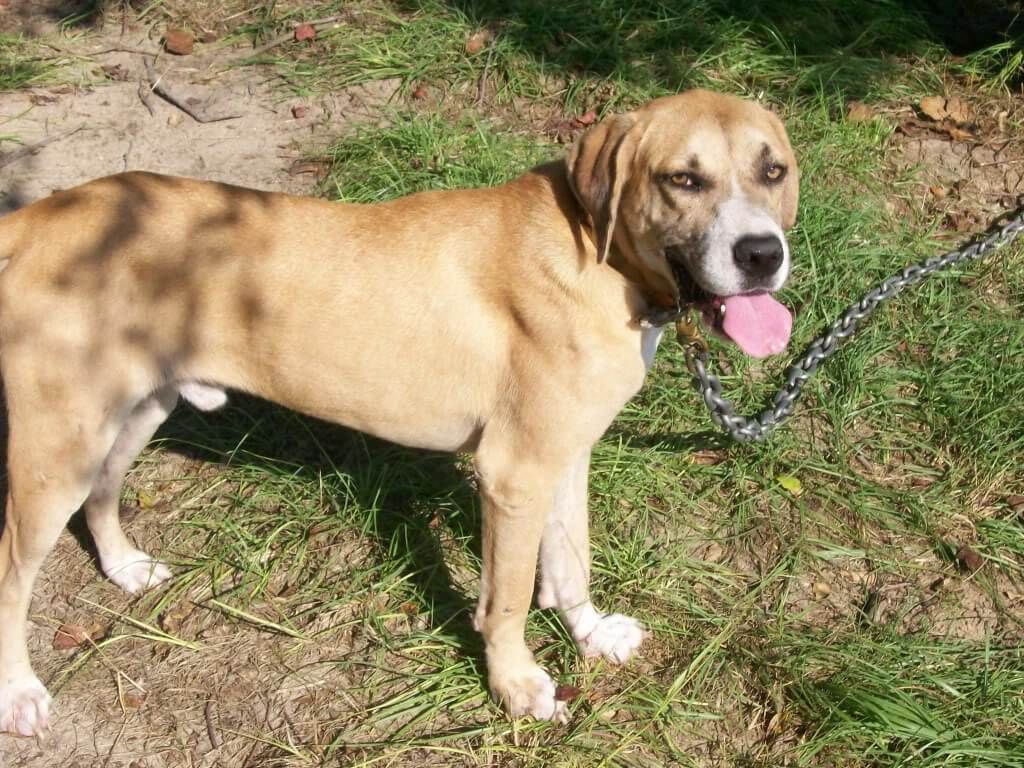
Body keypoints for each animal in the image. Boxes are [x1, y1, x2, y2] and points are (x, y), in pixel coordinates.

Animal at [0, 87, 798, 737]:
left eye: (774, 171)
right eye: (682, 178)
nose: (762, 254)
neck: (597, 254)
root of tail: (40, 214)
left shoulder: (565, 455)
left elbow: (571, 567)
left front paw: (592, 636)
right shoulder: (513, 476)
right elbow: (507, 600)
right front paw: (516, 685)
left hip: (135, 411)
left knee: (102, 494)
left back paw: (123, 566)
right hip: (56, 450)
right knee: (11, 571)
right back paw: (19, 693)